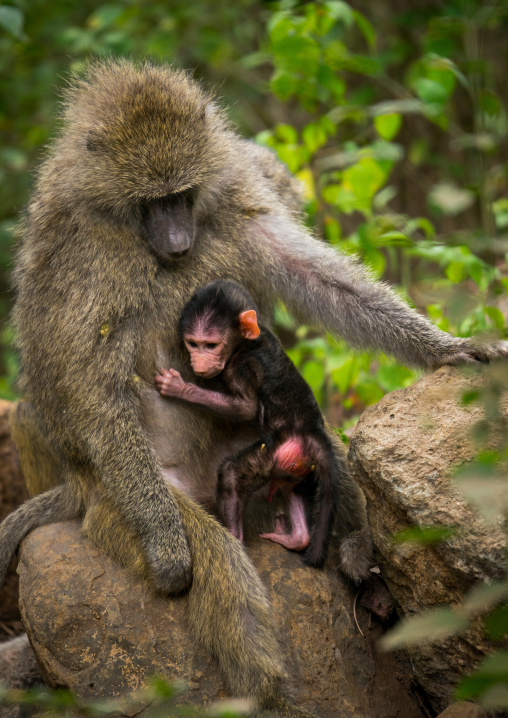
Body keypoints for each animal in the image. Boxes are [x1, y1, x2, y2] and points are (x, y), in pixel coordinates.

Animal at [154, 279, 343, 569]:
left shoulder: (243, 367)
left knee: (232, 473)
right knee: (290, 488)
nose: (199, 363)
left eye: (210, 346)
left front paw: (179, 388)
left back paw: (236, 539)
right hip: (295, 464)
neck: (247, 343)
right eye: (193, 344)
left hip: (276, 453)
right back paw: (297, 538)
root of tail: (313, 433)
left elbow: (246, 408)